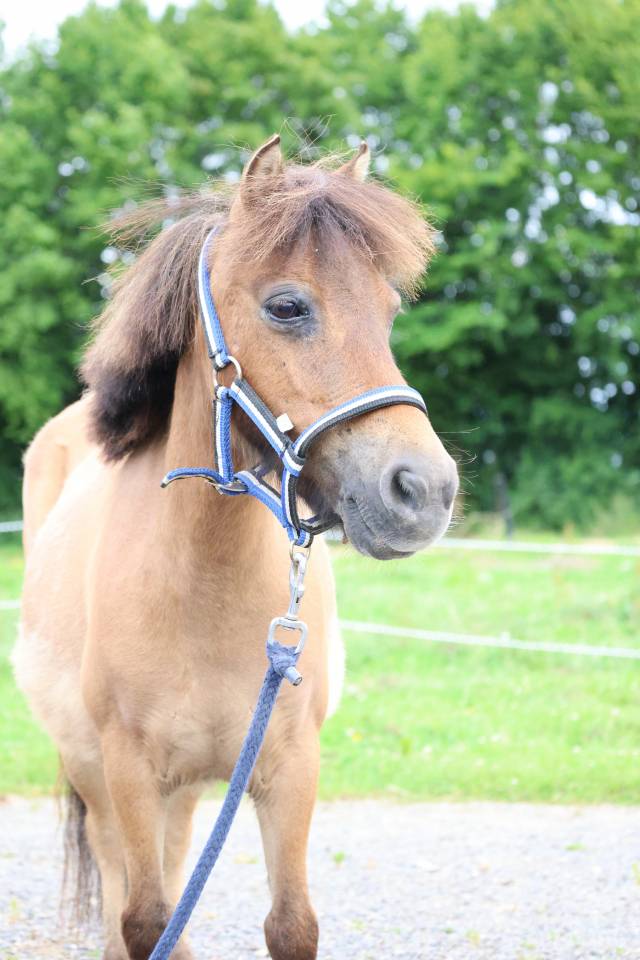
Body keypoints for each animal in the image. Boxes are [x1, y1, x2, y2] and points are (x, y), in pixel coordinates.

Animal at [14, 135, 458, 960]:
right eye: (287, 306)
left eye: (388, 311)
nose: (424, 491)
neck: (201, 582)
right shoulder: (129, 771)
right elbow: (146, 921)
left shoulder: (289, 767)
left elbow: (290, 924)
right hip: (97, 781)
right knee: (124, 892)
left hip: (186, 793)